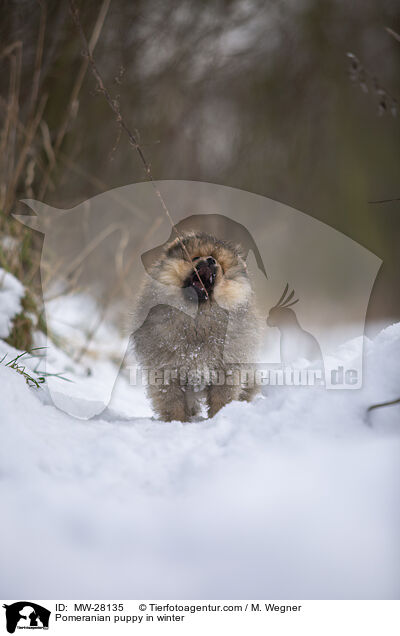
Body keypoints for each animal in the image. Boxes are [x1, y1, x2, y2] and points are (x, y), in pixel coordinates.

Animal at [131, 231, 262, 420]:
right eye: (196, 257)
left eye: (221, 265)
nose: (210, 260)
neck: (197, 320)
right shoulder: (166, 370)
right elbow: (174, 403)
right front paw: (177, 422)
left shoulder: (226, 369)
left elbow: (221, 399)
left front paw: (220, 417)